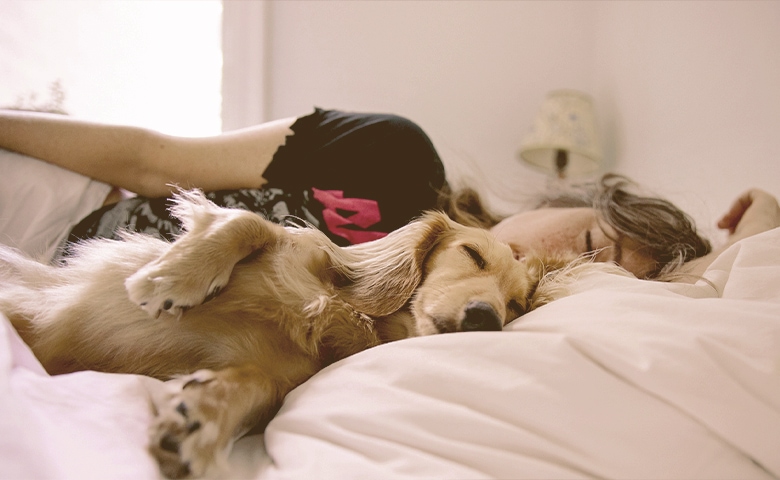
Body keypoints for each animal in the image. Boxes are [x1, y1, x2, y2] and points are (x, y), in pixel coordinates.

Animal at [0, 189, 572, 478]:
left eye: (516, 306)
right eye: (472, 254)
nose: (485, 318)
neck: (349, 314)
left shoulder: (277, 375)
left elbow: (254, 385)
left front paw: (200, 419)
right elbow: (249, 222)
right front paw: (172, 278)